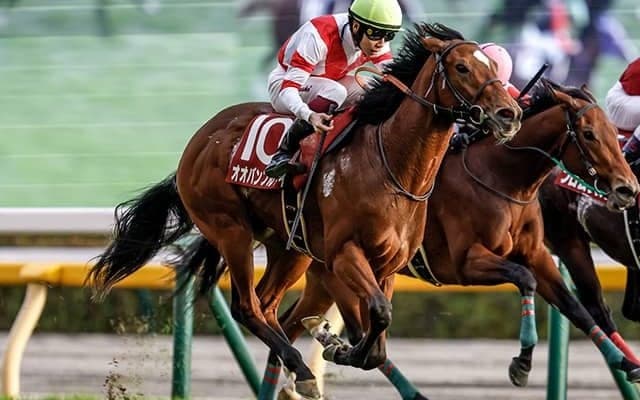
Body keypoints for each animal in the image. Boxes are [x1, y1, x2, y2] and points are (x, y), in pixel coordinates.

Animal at [88, 23, 521, 399]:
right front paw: (333, 343)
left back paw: (298, 364)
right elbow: (376, 317)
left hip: (290, 247)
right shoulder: (343, 255)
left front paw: (335, 343)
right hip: (231, 230)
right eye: (462, 67)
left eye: (492, 65)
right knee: (247, 306)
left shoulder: (387, 266)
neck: (392, 166)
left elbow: (377, 338)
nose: (509, 114)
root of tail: (199, 141)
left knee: (267, 306)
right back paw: (300, 367)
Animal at [224, 78, 639, 398]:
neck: (501, 176)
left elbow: (576, 307)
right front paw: (521, 363)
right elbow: (525, 280)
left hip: (318, 272)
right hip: (336, 269)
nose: (627, 189)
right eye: (589, 134)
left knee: (292, 323)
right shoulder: (466, 262)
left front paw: (626, 362)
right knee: (332, 327)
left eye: (614, 135)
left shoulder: (537, 253)